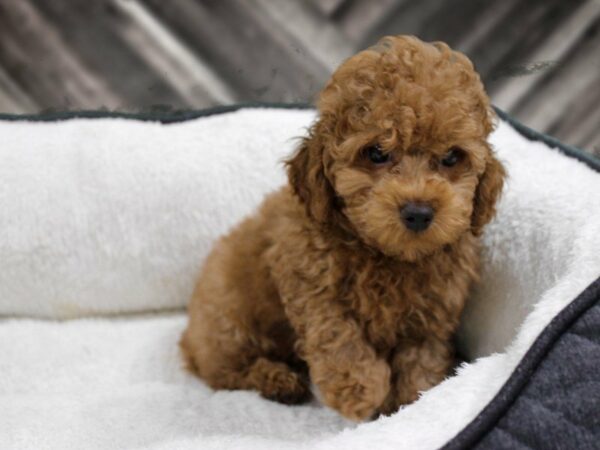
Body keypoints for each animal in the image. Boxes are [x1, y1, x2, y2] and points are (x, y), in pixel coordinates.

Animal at [180, 36, 504, 422]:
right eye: (376, 153)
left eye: (452, 157)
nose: (418, 212)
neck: (387, 256)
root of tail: (188, 338)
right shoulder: (309, 282)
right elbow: (339, 335)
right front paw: (359, 390)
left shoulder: (433, 311)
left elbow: (420, 360)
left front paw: (411, 403)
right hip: (227, 325)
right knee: (226, 373)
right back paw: (279, 381)